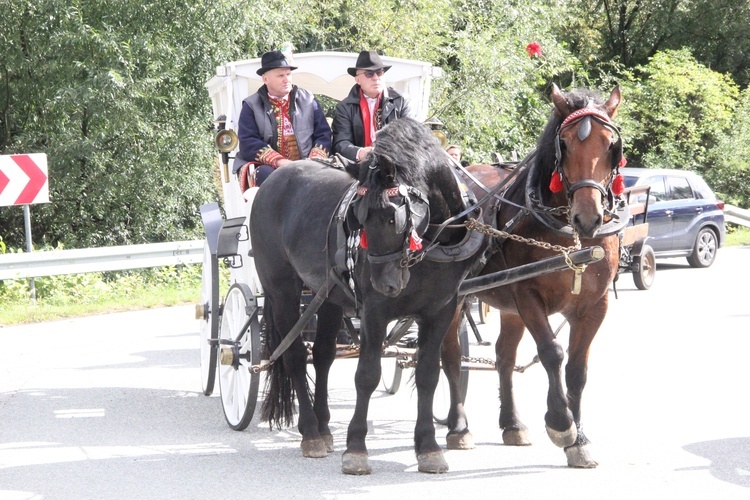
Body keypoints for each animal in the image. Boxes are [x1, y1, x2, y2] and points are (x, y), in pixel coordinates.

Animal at [251, 115, 488, 474]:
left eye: (393, 216)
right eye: (357, 217)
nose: (384, 283)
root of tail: (274, 179)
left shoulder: (442, 310)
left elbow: (428, 374)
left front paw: (429, 447)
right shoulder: (375, 312)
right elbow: (367, 375)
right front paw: (356, 448)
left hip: (329, 295)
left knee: (322, 355)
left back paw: (324, 426)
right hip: (280, 291)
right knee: (294, 356)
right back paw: (311, 433)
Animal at [452, 83, 628, 468]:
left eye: (611, 145)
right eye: (564, 143)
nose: (588, 218)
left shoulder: (595, 304)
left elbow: (577, 368)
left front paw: (580, 440)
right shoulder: (527, 295)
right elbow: (552, 353)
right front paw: (560, 423)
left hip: (506, 305)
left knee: (503, 356)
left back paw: (512, 424)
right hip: (455, 297)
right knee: (448, 353)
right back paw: (458, 427)